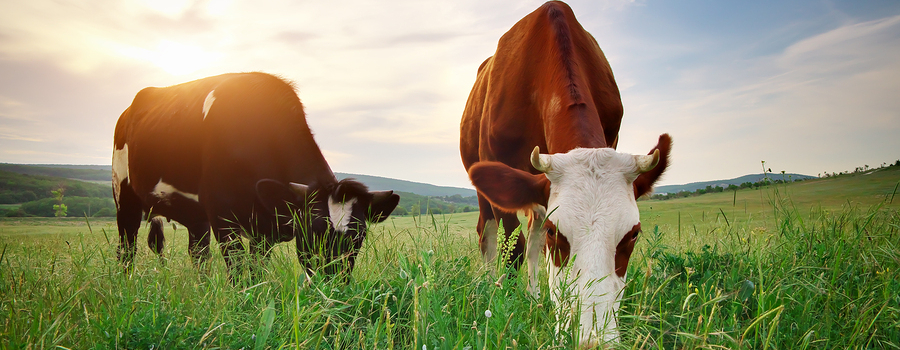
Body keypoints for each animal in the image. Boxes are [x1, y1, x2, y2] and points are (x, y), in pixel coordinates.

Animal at [110, 72, 400, 280]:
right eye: (312, 232)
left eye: (358, 237)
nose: (333, 286)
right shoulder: (222, 215)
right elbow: (239, 273)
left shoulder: (264, 230)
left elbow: (256, 271)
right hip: (124, 194)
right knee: (127, 247)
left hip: (195, 216)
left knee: (198, 254)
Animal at [460, 2, 672, 348]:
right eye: (555, 232)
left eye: (633, 235)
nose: (591, 339)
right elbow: (513, 249)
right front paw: (505, 304)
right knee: (489, 233)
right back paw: (492, 286)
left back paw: (535, 298)